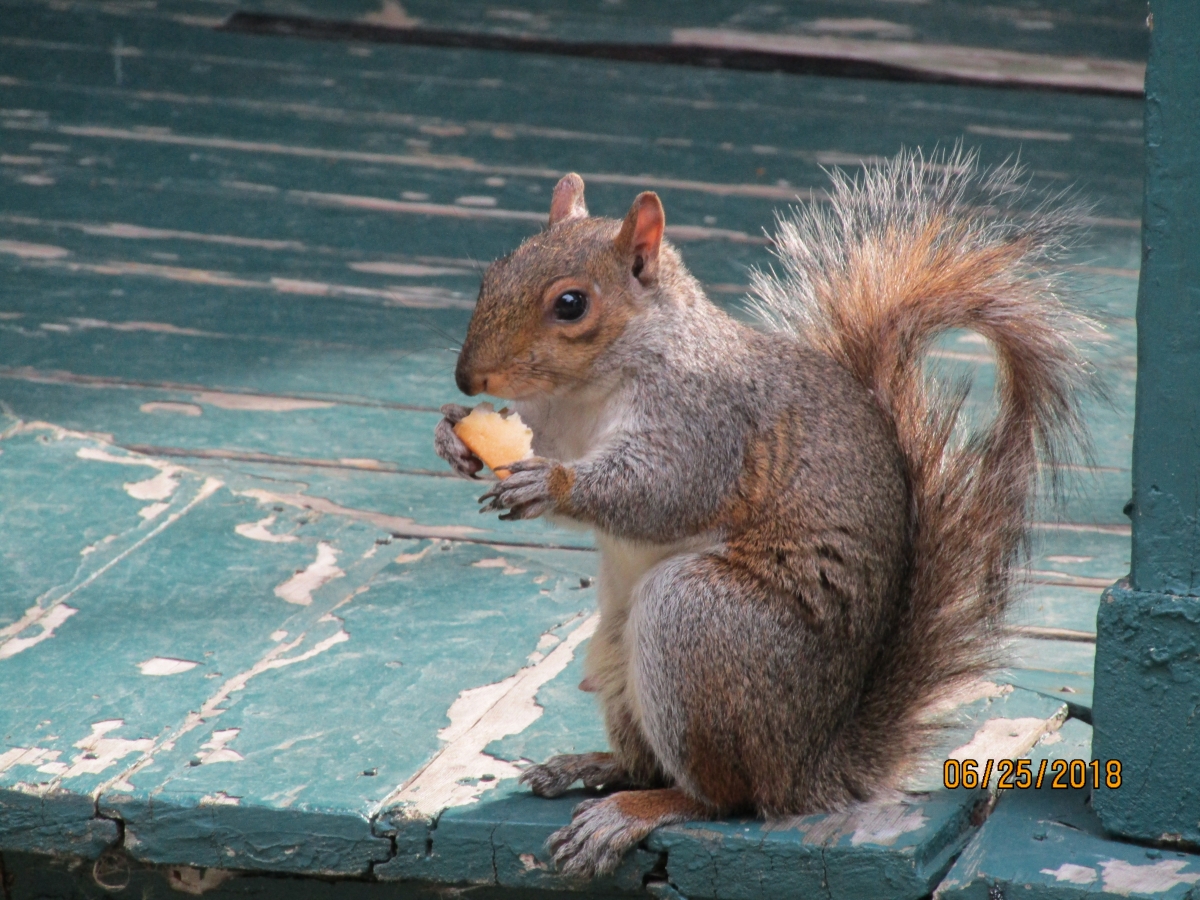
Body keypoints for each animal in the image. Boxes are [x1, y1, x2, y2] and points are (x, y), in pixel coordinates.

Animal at [434, 151, 1099, 878]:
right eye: (492, 274)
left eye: (571, 304)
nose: (468, 379)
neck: (590, 388)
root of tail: (806, 766)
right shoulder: (557, 420)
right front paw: (453, 436)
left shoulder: (707, 422)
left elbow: (664, 492)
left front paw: (549, 485)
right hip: (616, 647)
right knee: (649, 760)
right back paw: (594, 765)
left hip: (698, 620)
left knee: (726, 798)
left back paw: (636, 809)